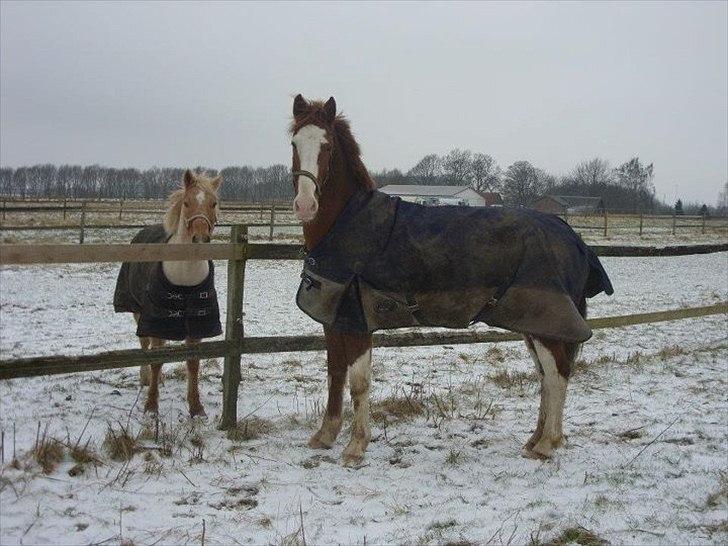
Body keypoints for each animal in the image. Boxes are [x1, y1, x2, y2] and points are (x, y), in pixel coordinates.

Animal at [113, 170, 222, 416]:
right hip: (138, 311)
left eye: (213, 203)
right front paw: (151, 406)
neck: (184, 275)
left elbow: (193, 363)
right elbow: (156, 360)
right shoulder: (156, 320)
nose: (200, 239)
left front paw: (196, 407)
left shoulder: (198, 324)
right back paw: (146, 380)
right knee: (146, 346)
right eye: (187, 202)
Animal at [290, 94, 616, 464]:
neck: (347, 224)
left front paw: (356, 446)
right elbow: (335, 374)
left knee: (558, 374)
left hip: (548, 323)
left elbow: (359, 382)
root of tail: (571, 235)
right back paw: (534, 441)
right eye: (294, 144)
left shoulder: (357, 319)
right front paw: (324, 436)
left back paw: (548, 444)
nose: (305, 204)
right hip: (535, 324)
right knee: (546, 375)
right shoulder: (334, 319)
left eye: (327, 146)